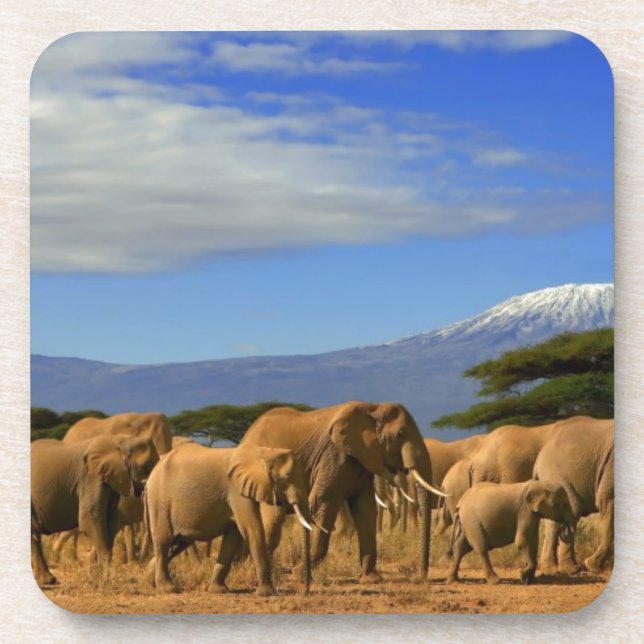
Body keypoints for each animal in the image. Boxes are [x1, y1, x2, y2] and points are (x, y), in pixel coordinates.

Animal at [31, 434, 159, 586]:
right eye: (145, 466)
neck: (121, 440)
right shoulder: (90, 478)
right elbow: (90, 518)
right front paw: (104, 581)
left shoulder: (110, 480)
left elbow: (110, 521)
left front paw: (98, 577)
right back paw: (48, 581)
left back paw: (49, 579)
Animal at [144, 442, 315, 596]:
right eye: (286, 478)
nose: (305, 590)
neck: (263, 452)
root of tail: (152, 473)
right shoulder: (236, 491)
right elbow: (251, 530)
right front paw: (267, 593)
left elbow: (233, 537)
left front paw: (218, 591)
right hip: (159, 501)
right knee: (164, 541)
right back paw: (167, 589)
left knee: (178, 543)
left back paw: (150, 580)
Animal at [239, 401, 446, 585]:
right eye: (401, 433)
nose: (419, 577)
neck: (373, 407)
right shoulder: (335, 456)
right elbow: (324, 502)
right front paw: (299, 575)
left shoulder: (362, 460)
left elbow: (365, 510)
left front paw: (371, 579)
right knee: (273, 520)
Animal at [447, 480, 575, 585]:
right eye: (564, 505)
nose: (564, 527)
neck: (540, 484)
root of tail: (460, 504)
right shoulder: (525, 510)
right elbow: (522, 540)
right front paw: (522, 576)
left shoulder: (532, 514)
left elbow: (533, 541)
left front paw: (530, 581)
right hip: (472, 522)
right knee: (481, 548)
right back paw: (496, 581)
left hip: (466, 523)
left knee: (460, 548)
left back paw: (454, 581)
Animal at [533, 416, 614, 574]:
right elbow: (608, 500)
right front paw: (593, 567)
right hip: (556, 476)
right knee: (565, 516)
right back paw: (560, 569)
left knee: (567, 517)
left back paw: (566, 568)